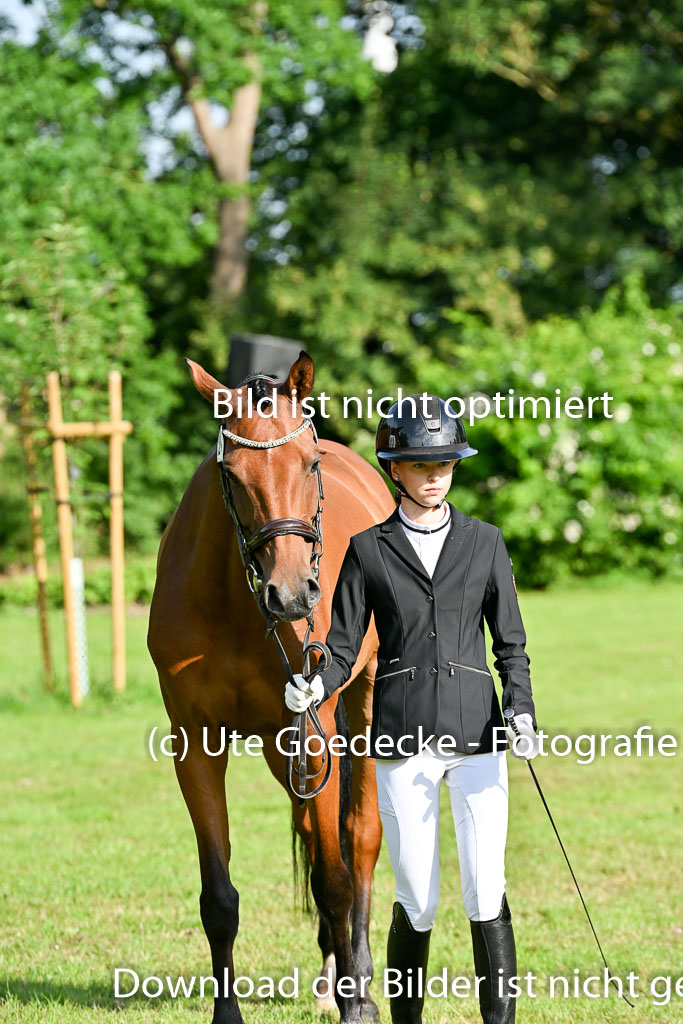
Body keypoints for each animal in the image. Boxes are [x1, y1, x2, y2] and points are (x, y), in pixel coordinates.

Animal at [147, 351, 394, 1024]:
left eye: (309, 463)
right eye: (232, 473)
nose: (292, 594)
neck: (236, 607)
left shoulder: (316, 739)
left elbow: (335, 877)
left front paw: (357, 1004)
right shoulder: (196, 746)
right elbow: (219, 897)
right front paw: (226, 1013)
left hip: (359, 717)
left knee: (359, 842)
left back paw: (358, 979)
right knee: (313, 837)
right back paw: (331, 973)